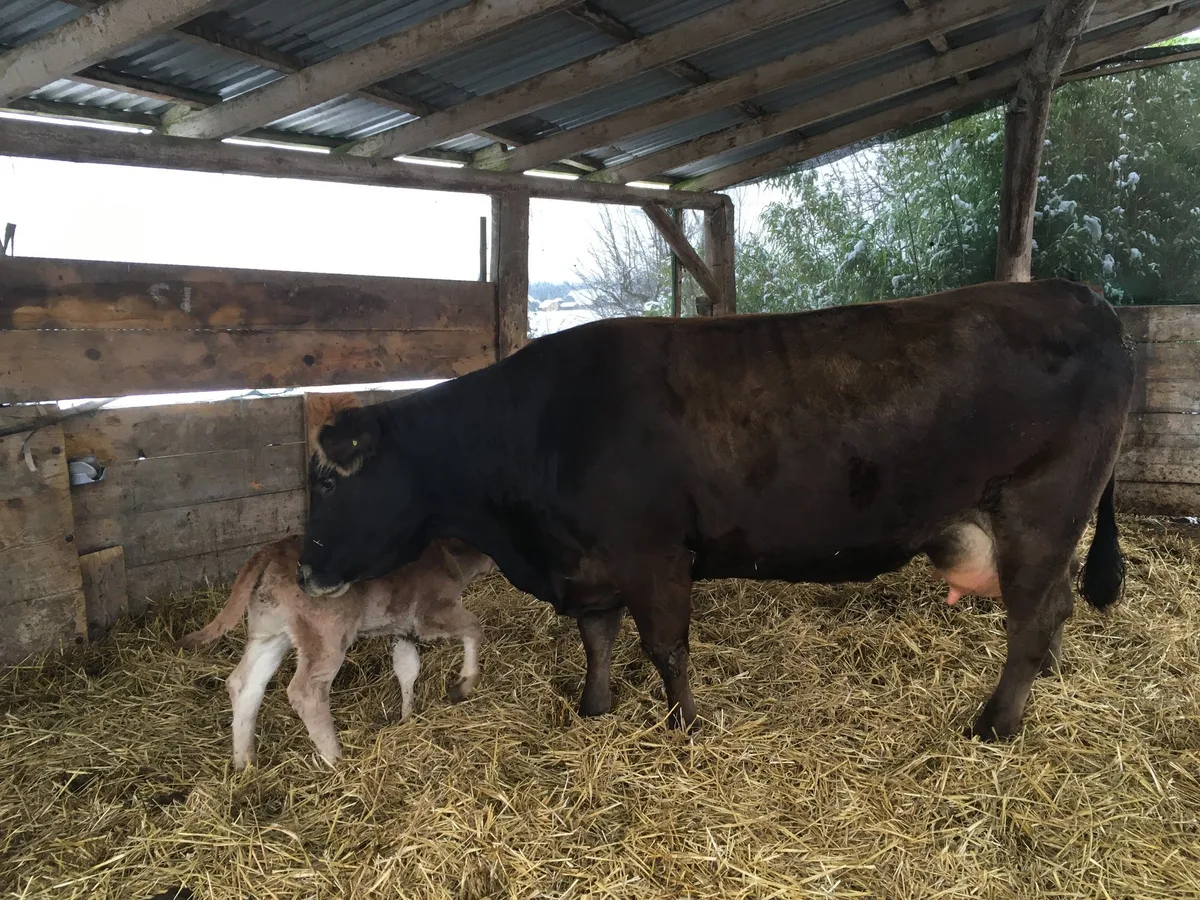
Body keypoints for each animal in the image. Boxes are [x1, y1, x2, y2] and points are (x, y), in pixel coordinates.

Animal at [178, 535, 494, 768]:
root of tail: (274, 549)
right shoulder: (430, 613)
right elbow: (474, 627)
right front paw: (463, 684)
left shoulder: (402, 628)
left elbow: (407, 668)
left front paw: (406, 716)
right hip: (326, 635)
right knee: (306, 691)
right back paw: (336, 760)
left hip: (271, 631)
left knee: (245, 684)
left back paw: (245, 763)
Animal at [297, 278, 1134, 741]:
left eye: (328, 483)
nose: (305, 571)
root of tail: (1076, 293)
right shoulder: (591, 563)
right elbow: (597, 639)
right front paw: (595, 708)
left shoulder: (653, 555)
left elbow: (666, 648)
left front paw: (685, 726)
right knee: (1053, 610)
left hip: (1039, 507)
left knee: (1032, 619)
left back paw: (995, 725)